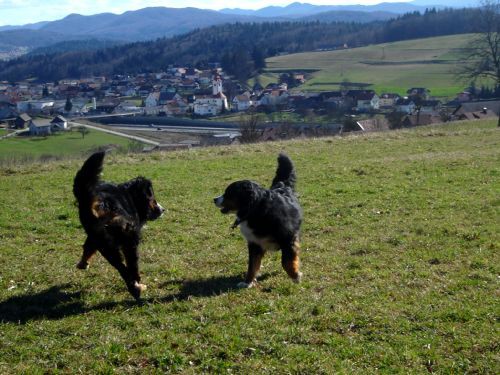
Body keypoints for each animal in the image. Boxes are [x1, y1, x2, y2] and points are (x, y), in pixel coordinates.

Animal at [73, 151, 164, 302]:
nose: (162, 210)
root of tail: (100, 204)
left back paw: (134, 289)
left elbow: (87, 248)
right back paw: (138, 286)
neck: (130, 196)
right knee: (131, 267)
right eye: (152, 197)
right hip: (129, 239)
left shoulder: (94, 238)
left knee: (121, 268)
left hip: (105, 244)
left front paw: (83, 263)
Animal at [214, 154, 302, 290]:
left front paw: (295, 276)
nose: (214, 199)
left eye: (229, 193)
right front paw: (247, 282)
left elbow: (286, 261)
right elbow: (252, 265)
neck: (256, 211)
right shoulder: (254, 243)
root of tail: (282, 185)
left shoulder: (288, 238)